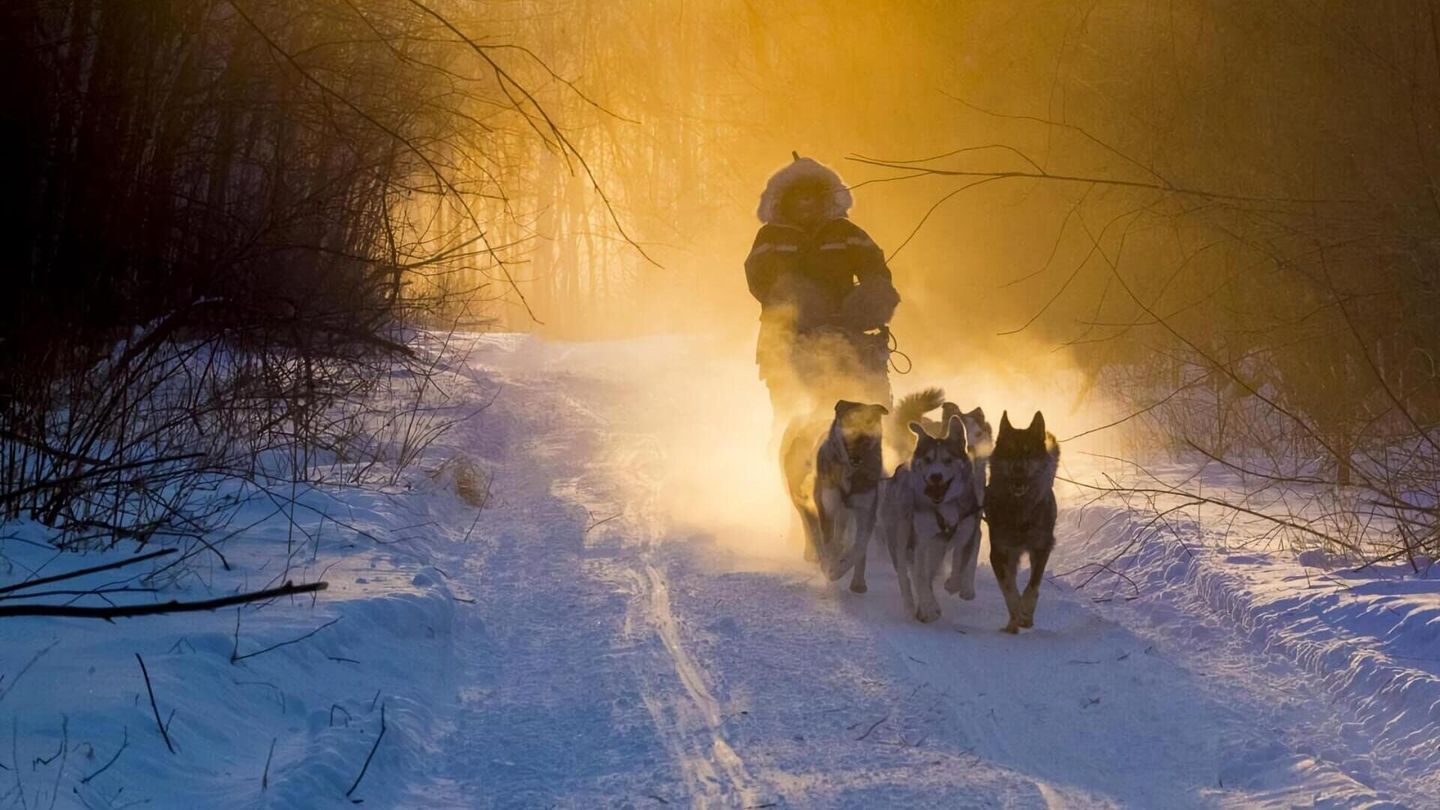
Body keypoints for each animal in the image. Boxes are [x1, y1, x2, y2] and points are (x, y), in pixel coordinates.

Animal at [875, 412, 979, 619]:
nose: (935, 476)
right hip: (900, 534)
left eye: (948, 460)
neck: (944, 506)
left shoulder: (966, 532)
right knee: (906, 575)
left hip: (936, 548)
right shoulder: (921, 541)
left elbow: (962, 561)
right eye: (928, 459)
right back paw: (912, 606)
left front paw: (958, 586)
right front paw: (928, 606)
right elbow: (920, 575)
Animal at [984, 409, 1065, 631]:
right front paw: (1016, 614)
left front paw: (1026, 612)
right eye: (1009, 452)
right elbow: (1008, 588)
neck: (1019, 509)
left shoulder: (1042, 547)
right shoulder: (999, 552)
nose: (1018, 472)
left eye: (1028, 452)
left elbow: (1032, 585)